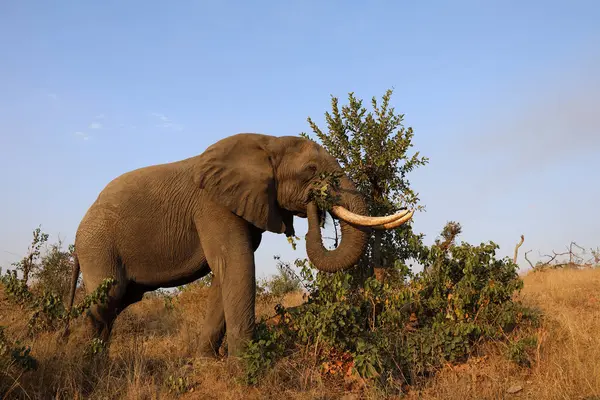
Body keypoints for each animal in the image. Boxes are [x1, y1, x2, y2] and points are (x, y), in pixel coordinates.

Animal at [64, 134, 412, 356]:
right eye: (311, 171)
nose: (318, 199)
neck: (268, 143)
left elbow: (225, 275)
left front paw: (208, 362)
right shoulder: (213, 206)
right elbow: (237, 265)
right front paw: (246, 368)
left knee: (117, 303)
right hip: (98, 245)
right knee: (108, 298)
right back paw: (82, 365)